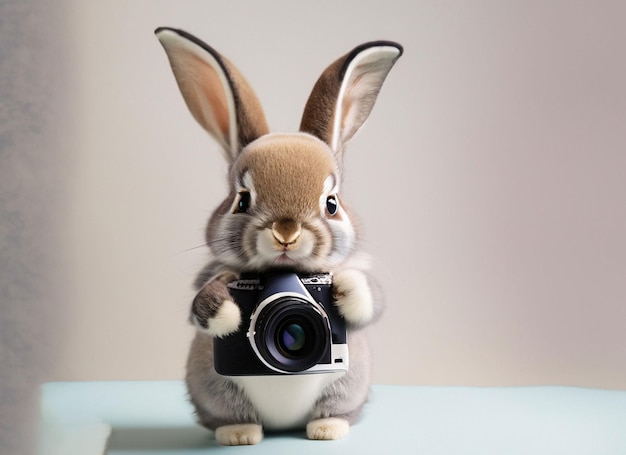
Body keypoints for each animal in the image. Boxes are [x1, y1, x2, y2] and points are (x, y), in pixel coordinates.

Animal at [154, 27, 402, 446]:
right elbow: (200, 306)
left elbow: (372, 299)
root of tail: (283, 424)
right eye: (242, 200)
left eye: (331, 204)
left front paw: (346, 289)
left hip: (349, 385)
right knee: (226, 415)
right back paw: (239, 432)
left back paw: (326, 428)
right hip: (212, 387)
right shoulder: (210, 278)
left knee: (337, 411)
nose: (286, 231)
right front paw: (226, 311)